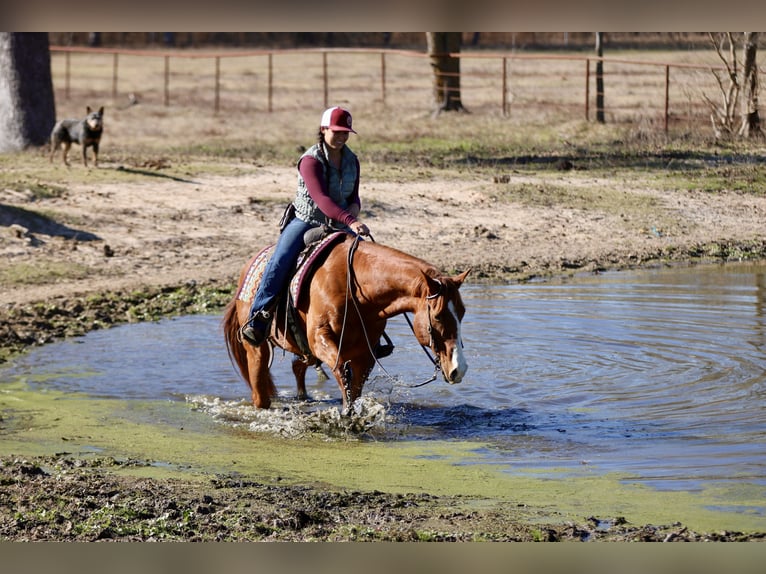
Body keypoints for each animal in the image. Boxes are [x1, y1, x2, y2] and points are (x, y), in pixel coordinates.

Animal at [222, 233, 470, 416]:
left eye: (463, 312)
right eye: (437, 316)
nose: (459, 370)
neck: (356, 289)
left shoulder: (365, 353)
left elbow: (355, 386)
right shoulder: (321, 339)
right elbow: (343, 372)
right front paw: (346, 416)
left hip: (304, 350)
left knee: (298, 366)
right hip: (258, 348)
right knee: (260, 390)